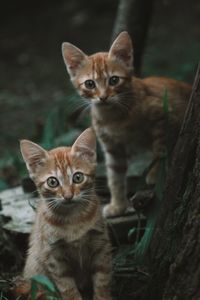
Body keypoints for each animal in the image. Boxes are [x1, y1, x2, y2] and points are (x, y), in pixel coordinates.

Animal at [18, 129, 111, 300]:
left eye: (78, 177)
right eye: (52, 182)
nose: (68, 196)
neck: (73, 219)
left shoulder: (101, 246)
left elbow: (102, 282)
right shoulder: (54, 257)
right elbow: (68, 288)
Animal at [61, 31, 192, 218]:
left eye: (114, 80)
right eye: (90, 84)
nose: (103, 97)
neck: (113, 116)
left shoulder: (165, 116)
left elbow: (160, 150)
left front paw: (154, 175)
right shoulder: (112, 148)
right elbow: (115, 177)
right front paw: (118, 205)